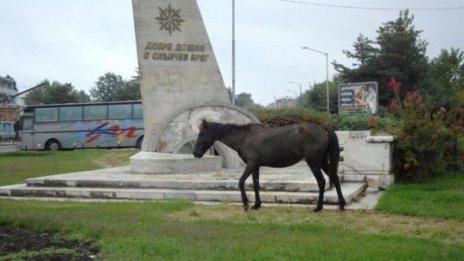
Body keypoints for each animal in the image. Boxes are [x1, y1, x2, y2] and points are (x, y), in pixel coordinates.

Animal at [192, 119, 344, 211]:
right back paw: (341, 205)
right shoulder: (256, 166)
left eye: (201, 134)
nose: (195, 153)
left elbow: (241, 182)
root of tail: (323, 129)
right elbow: (255, 184)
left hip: (314, 163)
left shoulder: (251, 164)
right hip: (322, 162)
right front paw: (256, 205)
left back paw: (318, 207)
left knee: (322, 182)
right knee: (335, 178)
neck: (245, 137)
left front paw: (246, 204)